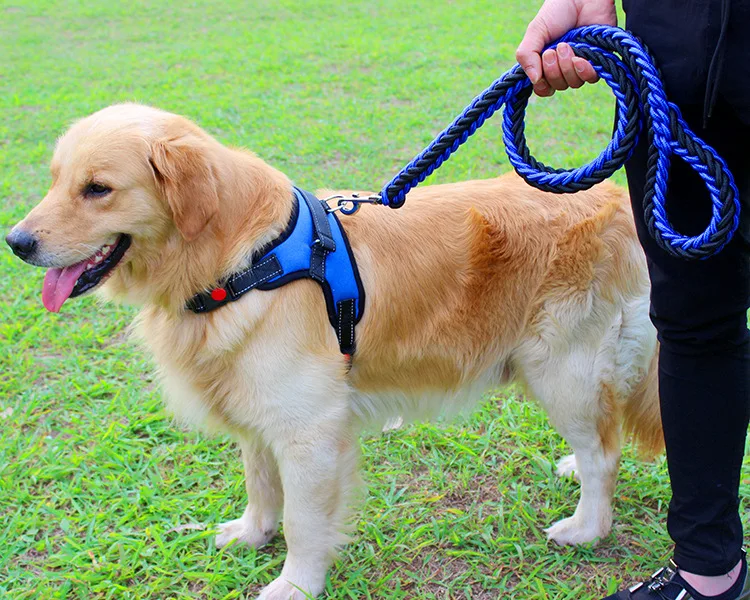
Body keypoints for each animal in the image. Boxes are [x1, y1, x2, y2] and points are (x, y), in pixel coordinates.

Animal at [7, 104, 664, 600]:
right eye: (55, 179)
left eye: (98, 189)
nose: (16, 242)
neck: (243, 263)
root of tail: (615, 202)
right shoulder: (258, 412)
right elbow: (260, 485)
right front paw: (252, 534)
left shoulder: (310, 431)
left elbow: (303, 521)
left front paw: (295, 585)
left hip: (561, 369)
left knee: (606, 453)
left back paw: (587, 527)